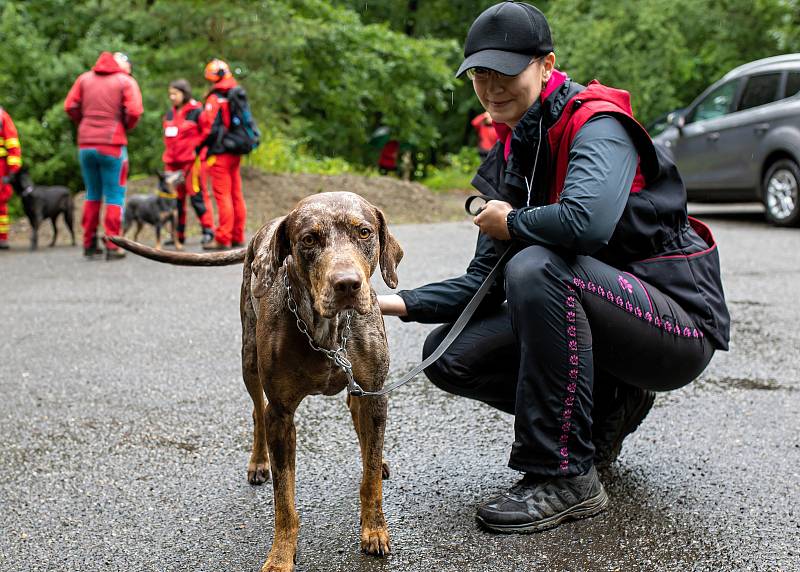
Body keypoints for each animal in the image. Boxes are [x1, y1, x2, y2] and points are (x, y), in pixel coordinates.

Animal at [109, 192, 404, 572]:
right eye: (309, 239)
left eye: (364, 232)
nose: (347, 284)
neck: (326, 331)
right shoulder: (281, 414)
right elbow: (284, 501)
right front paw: (281, 555)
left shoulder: (375, 394)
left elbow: (369, 479)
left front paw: (374, 529)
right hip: (248, 360)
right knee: (256, 411)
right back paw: (258, 462)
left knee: (360, 421)